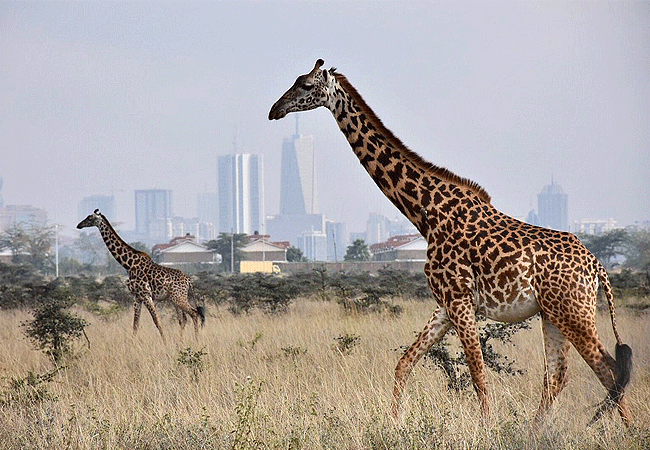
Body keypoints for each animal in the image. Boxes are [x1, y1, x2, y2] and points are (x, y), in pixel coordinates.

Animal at [76, 209, 204, 342]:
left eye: (90, 218)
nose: (79, 225)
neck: (128, 265)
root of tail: (188, 280)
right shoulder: (136, 296)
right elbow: (135, 324)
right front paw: (132, 344)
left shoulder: (146, 295)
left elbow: (157, 321)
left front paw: (165, 342)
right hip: (175, 298)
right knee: (183, 319)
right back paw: (181, 341)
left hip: (178, 297)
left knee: (194, 314)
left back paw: (196, 340)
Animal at [266, 59, 632, 426]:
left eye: (305, 85)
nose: (275, 110)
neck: (426, 213)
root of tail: (597, 266)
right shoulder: (444, 303)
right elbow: (403, 364)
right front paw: (395, 422)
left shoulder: (459, 300)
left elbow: (478, 375)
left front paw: (488, 428)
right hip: (552, 313)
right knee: (559, 375)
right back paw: (537, 430)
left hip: (573, 311)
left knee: (609, 369)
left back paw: (624, 431)